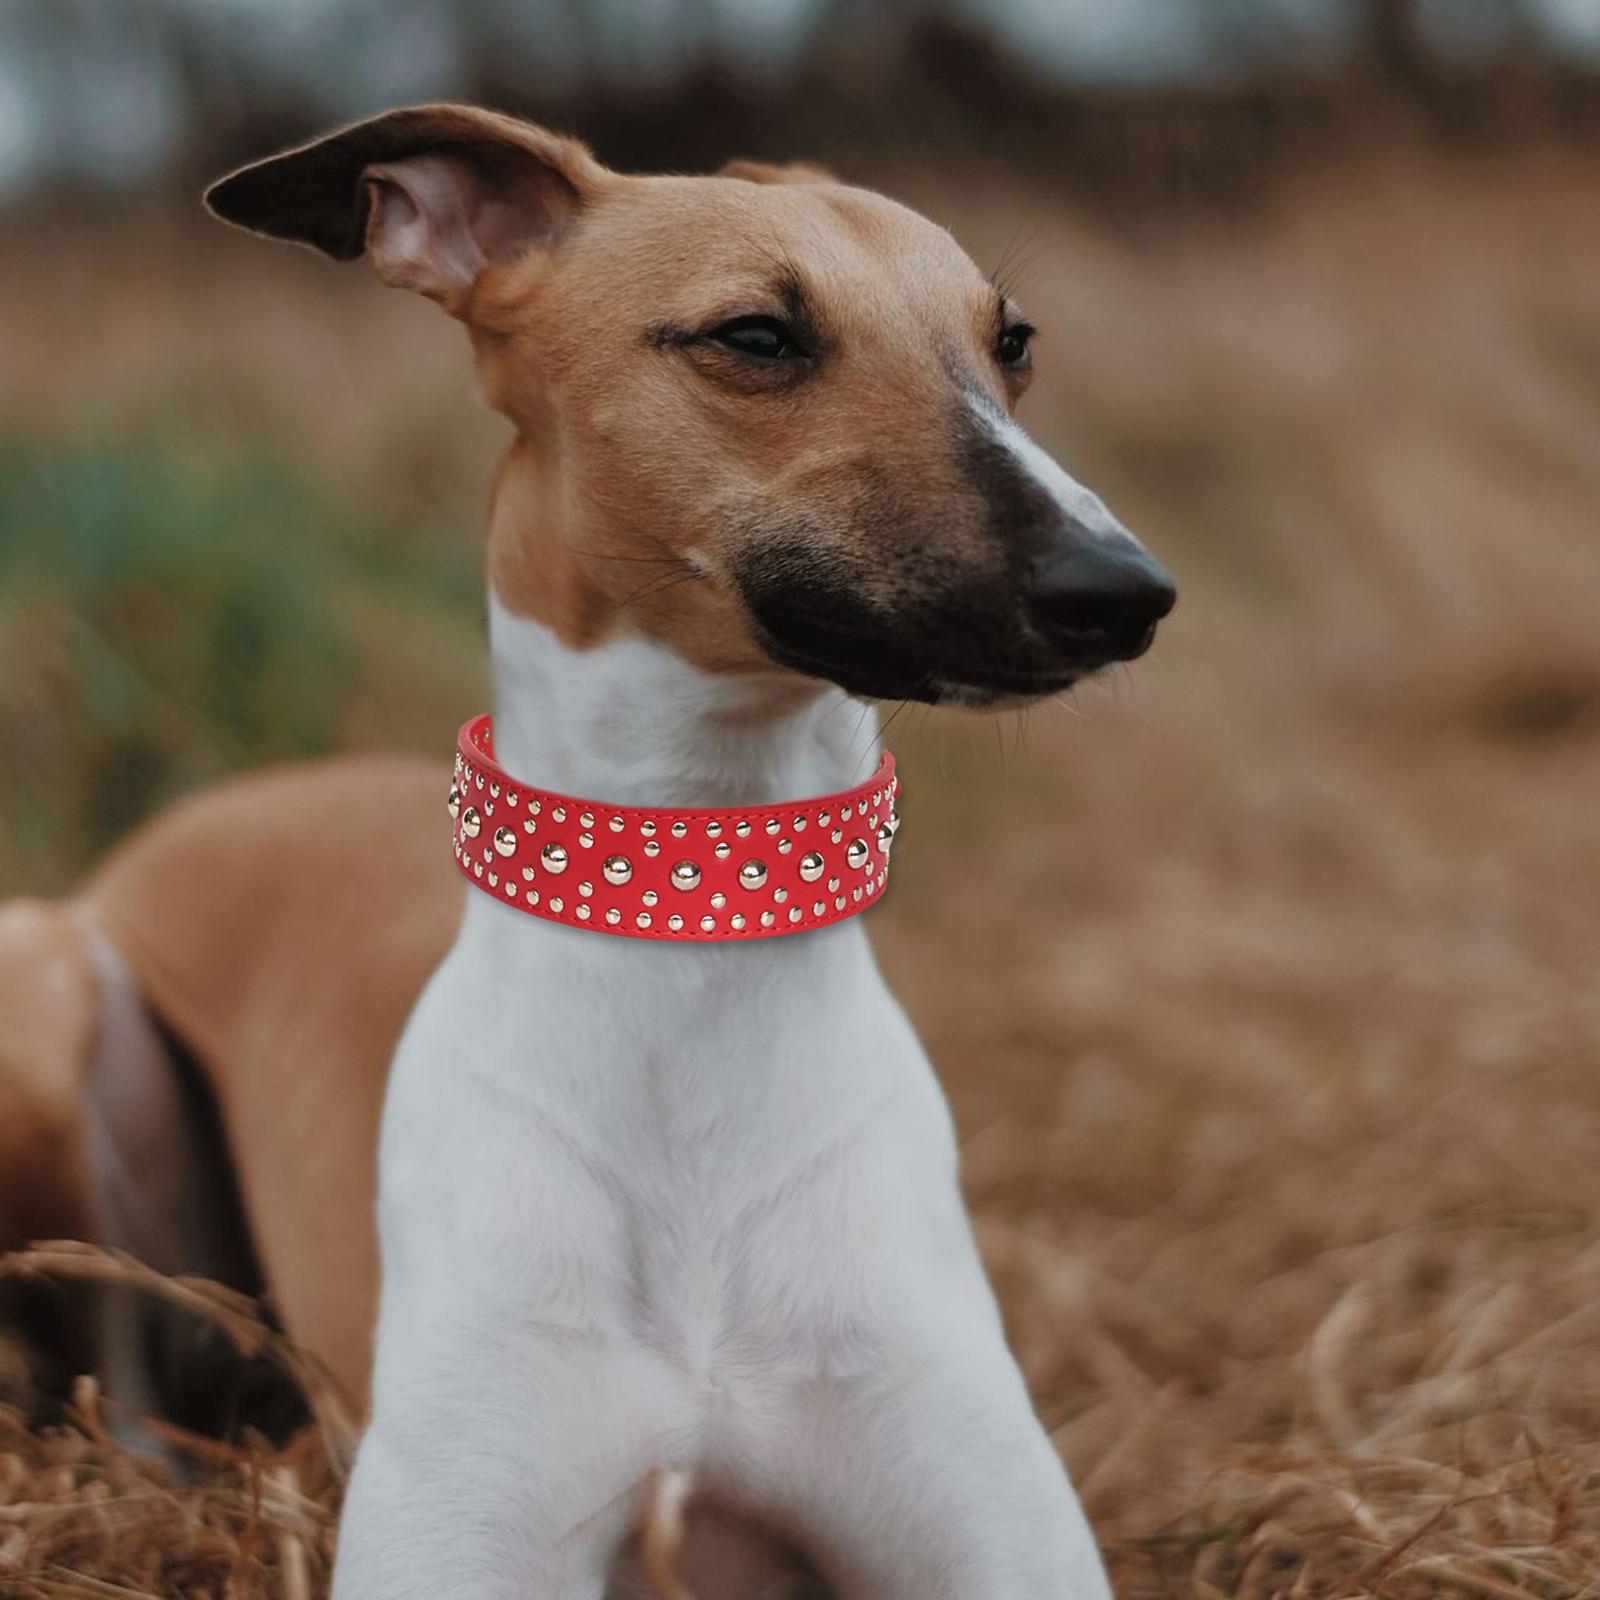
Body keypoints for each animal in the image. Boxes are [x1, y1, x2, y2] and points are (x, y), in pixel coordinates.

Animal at [0, 106, 1177, 1593]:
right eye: (754, 335)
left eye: (1011, 340)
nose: (1123, 592)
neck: (689, 959)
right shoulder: (458, 1542)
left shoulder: (998, 1540)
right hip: (53, 1002)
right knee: (119, 1388)